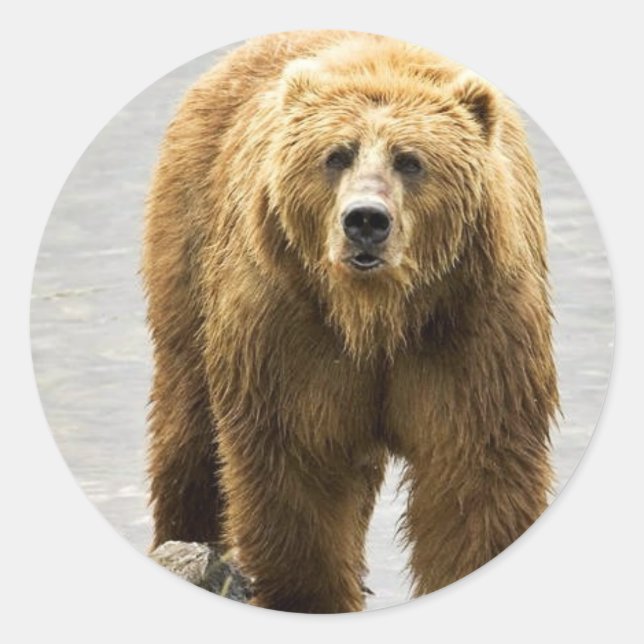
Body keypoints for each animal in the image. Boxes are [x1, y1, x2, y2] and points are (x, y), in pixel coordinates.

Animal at [142, 30, 558, 613]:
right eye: (336, 155)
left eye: (410, 161)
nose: (365, 220)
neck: (377, 314)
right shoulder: (289, 325)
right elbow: (297, 465)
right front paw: (309, 595)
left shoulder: (472, 324)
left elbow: (476, 468)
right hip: (191, 238)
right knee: (190, 423)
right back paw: (189, 540)